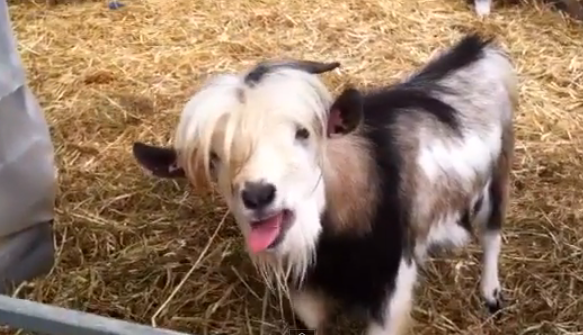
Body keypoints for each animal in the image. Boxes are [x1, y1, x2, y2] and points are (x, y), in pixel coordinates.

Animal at [133, 34, 520, 335]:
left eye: (303, 133)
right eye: (214, 157)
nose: (258, 195)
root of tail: (479, 48)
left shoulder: (390, 286)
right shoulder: (308, 291)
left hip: (497, 174)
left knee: (492, 233)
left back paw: (490, 292)